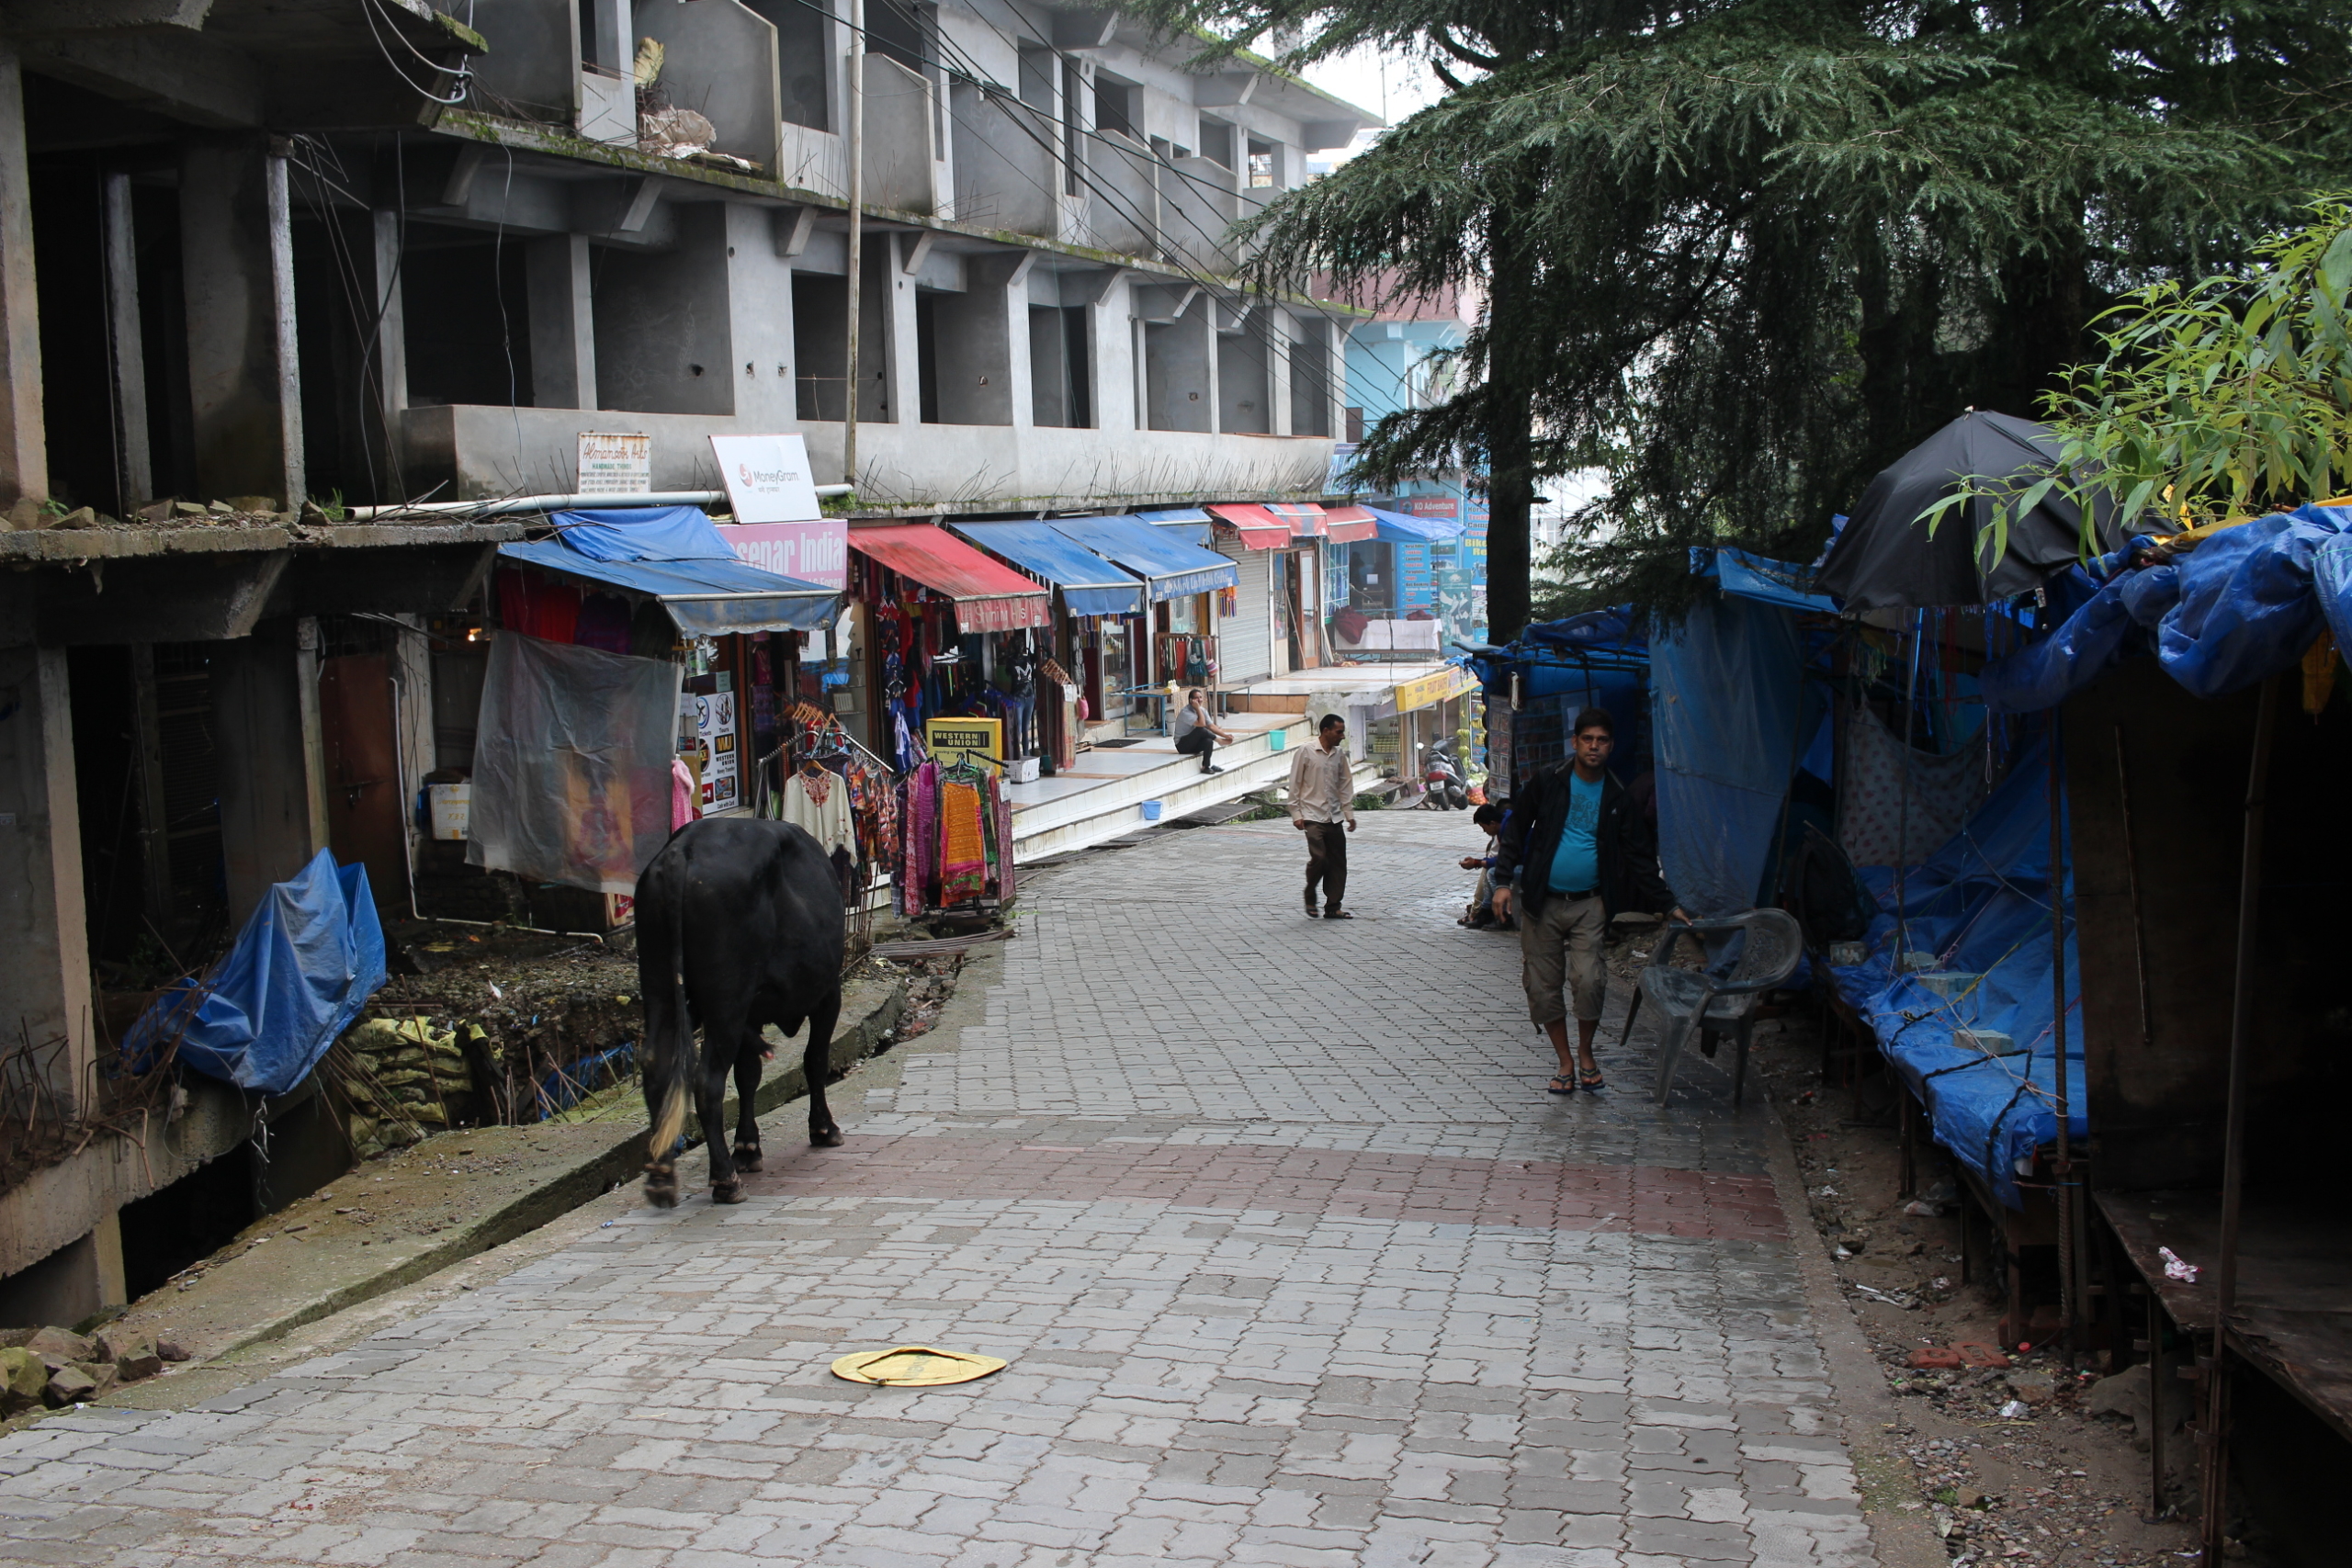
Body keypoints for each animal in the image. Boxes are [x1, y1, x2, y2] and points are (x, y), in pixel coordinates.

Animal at [635, 818, 846, 1213]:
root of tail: (682, 849)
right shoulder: (828, 994)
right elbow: (814, 1060)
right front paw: (824, 1128)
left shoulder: (752, 1013)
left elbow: (749, 1075)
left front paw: (747, 1147)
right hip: (726, 1000)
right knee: (707, 1081)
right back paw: (725, 1180)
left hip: (659, 989)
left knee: (656, 1065)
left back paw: (661, 1177)